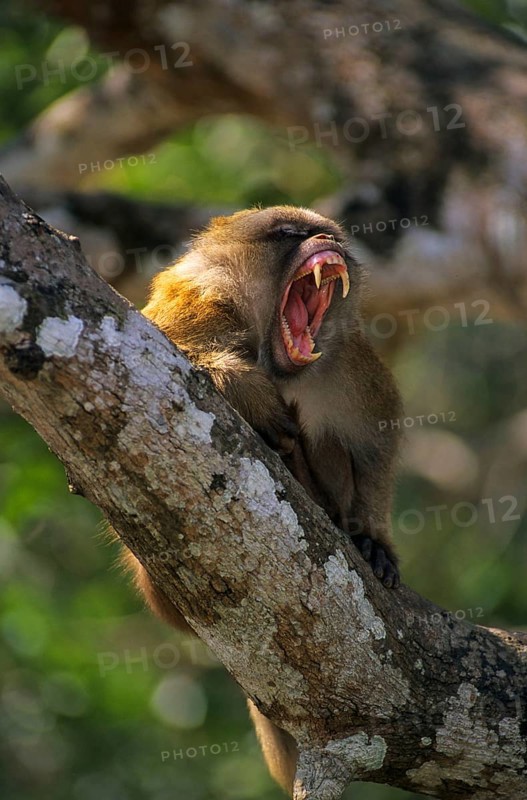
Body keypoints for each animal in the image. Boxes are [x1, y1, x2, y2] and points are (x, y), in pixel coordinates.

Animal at [122, 205, 402, 796]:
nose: (324, 242)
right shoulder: (194, 302)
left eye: (330, 235)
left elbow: (377, 445)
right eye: (290, 235)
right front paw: (243, 389)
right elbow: (169, 348)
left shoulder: (351, 365)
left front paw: (373, 539)